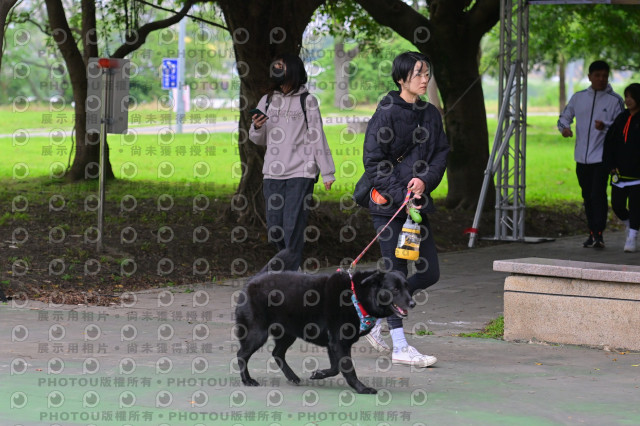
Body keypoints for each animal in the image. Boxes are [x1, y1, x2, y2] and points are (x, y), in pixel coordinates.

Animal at [235, 250, 415, 394]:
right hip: (258, 333)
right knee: (242, 354)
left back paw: (292, 377)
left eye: (407, 287)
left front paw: (319, 374)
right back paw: (247, 380)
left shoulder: (333, 343)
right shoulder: (339, 342)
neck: (356, 296)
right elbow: (348, 369)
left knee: (277, 353)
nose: (413, 303)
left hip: (288, 333)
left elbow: (336, 368)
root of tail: (254, 279)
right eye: (395, 289)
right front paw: (361, 388)